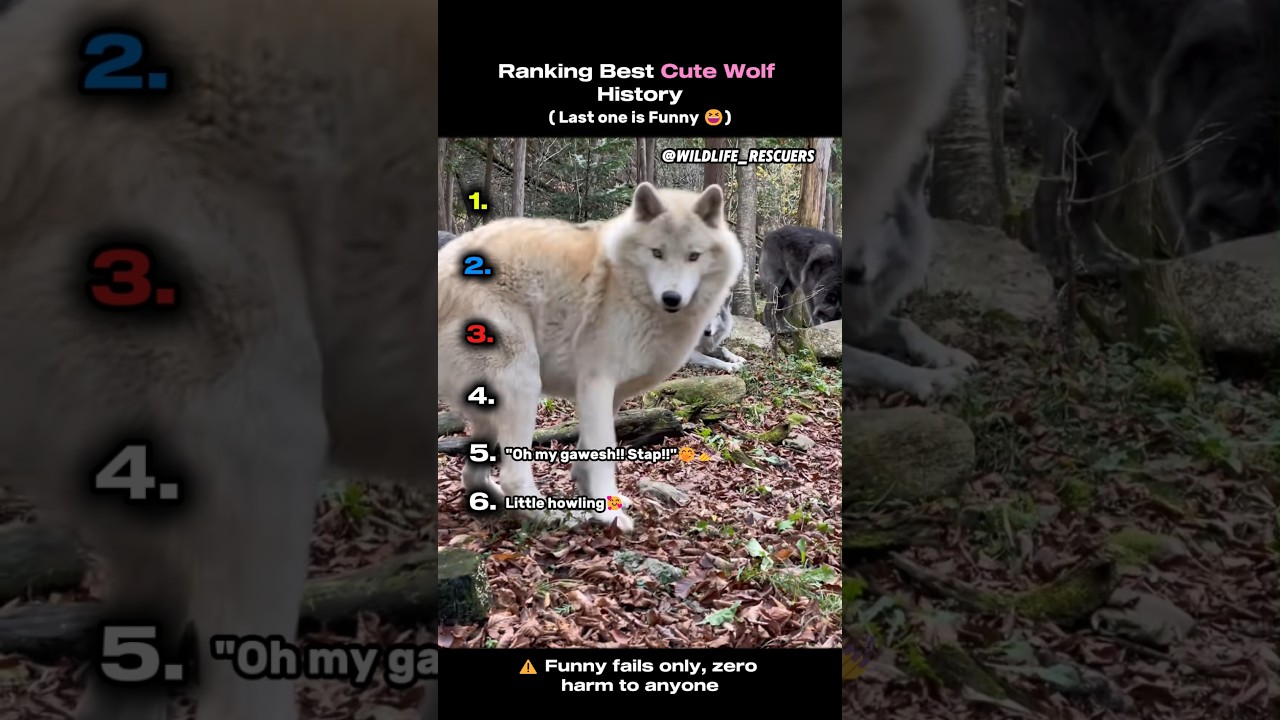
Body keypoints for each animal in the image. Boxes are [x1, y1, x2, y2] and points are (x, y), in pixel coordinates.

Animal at [438, 183, 742, 534]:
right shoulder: (596, 384)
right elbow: (603, 450)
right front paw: (608, 513)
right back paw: (555, 517)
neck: (625, 286)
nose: (671, 298)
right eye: (657, 253)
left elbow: (588, 452)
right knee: (513, 475)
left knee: (472, 473)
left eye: (694, 256)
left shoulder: (614, 394)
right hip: (524, 383)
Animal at [844, 147, 978, 401]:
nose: (851, 271)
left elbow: (906, 324)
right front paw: (933, 378)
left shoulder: (860, 323)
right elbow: (879, 362)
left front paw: (945, 354)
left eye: (881, 215)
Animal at [1019, 0, 1279, 264]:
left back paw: (1102, 259)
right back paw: (1056, 261)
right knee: (1045, 195)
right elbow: (1190, 213)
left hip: (1109, 151)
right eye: (1239, 229)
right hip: (1071, 125)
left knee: (1078, 206)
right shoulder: (1175, 138)